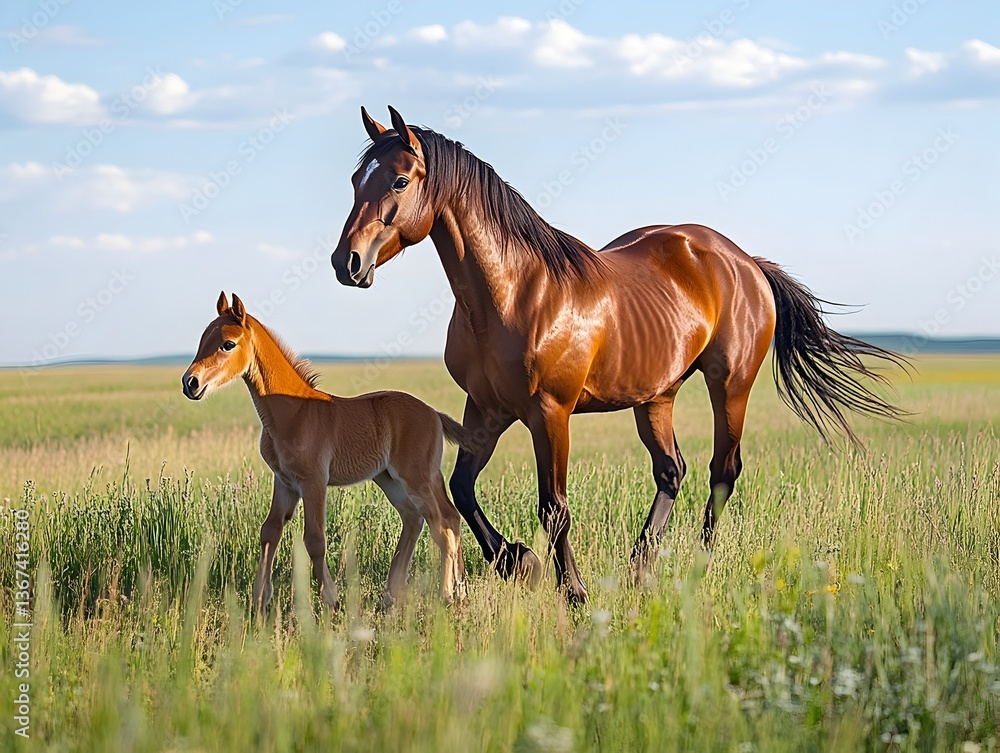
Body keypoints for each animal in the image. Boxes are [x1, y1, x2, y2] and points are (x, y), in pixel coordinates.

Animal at [182, 291, 471, 610]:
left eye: (228, 344)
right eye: (202, 340)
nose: (190, 383)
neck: (293, 412)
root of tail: (434, 413)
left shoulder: (314, 482)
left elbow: (314, 539)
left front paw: (331, 599)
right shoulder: (285, 483)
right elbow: (269, 531)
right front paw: (259, 599)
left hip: (417, 477)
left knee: (442, 524)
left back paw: (447, 593)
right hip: (389, 478)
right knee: (419, 519)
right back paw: (402, 593)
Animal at [330, 106, 907, 604]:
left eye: (399, 181)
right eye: (356, 181)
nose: (346, 262)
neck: (514, 292)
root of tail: (745, 262)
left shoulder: (549, 413)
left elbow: (553, 507)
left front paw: (572, 590)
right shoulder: (486, 410)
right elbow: (462, 488)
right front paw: (518, 561)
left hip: (730, 385)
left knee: (723, 471)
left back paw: (696, 565)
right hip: (656, 397)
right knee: (672, 471)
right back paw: (639, 567)